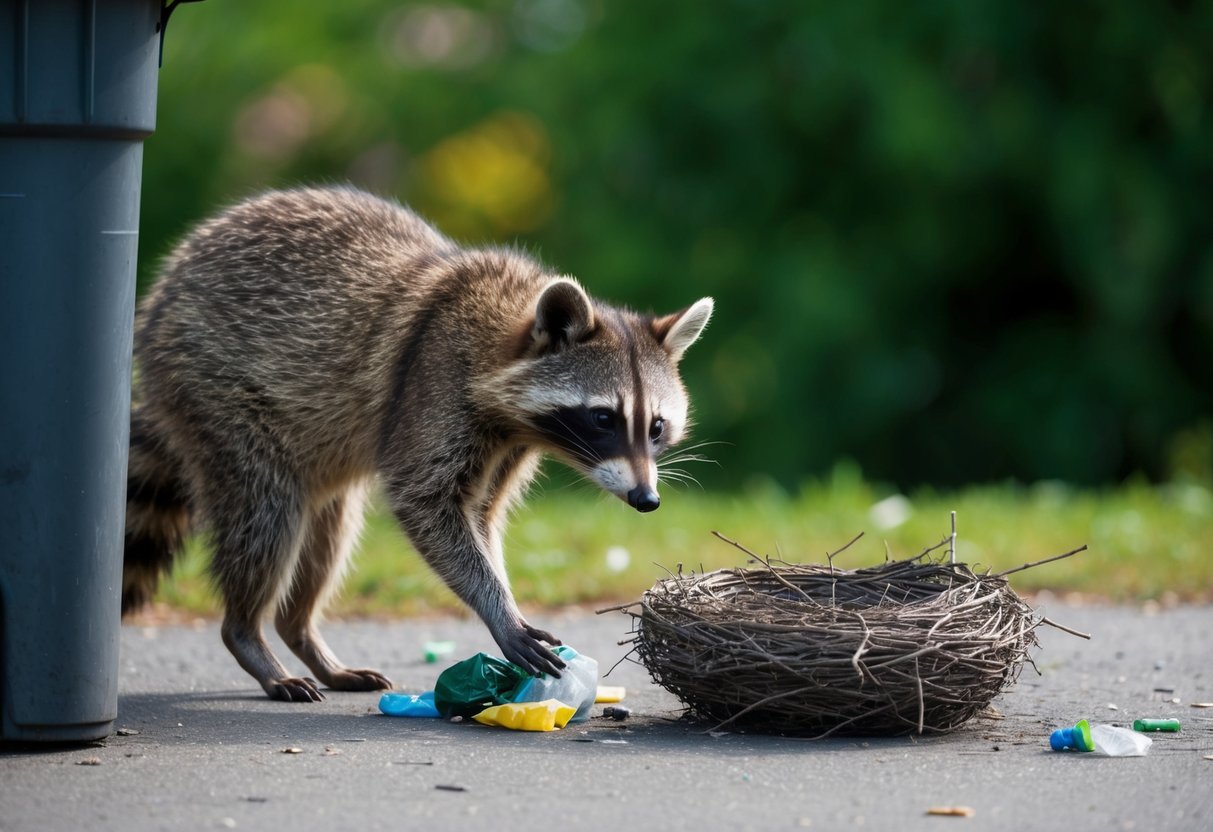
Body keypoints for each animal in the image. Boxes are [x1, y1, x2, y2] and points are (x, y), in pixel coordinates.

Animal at [122, 186, 713, 702]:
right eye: (603, 418)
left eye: (655, 427)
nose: (646, 499)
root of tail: (162, 295)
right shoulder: (434, 380)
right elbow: (424, 501)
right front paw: (497, 605)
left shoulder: (506, 446)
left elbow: (480, 517)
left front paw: (503, 595)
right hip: (212, 388)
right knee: (267, 516)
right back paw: (248, 633)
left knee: (327, 533)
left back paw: (301, 633)